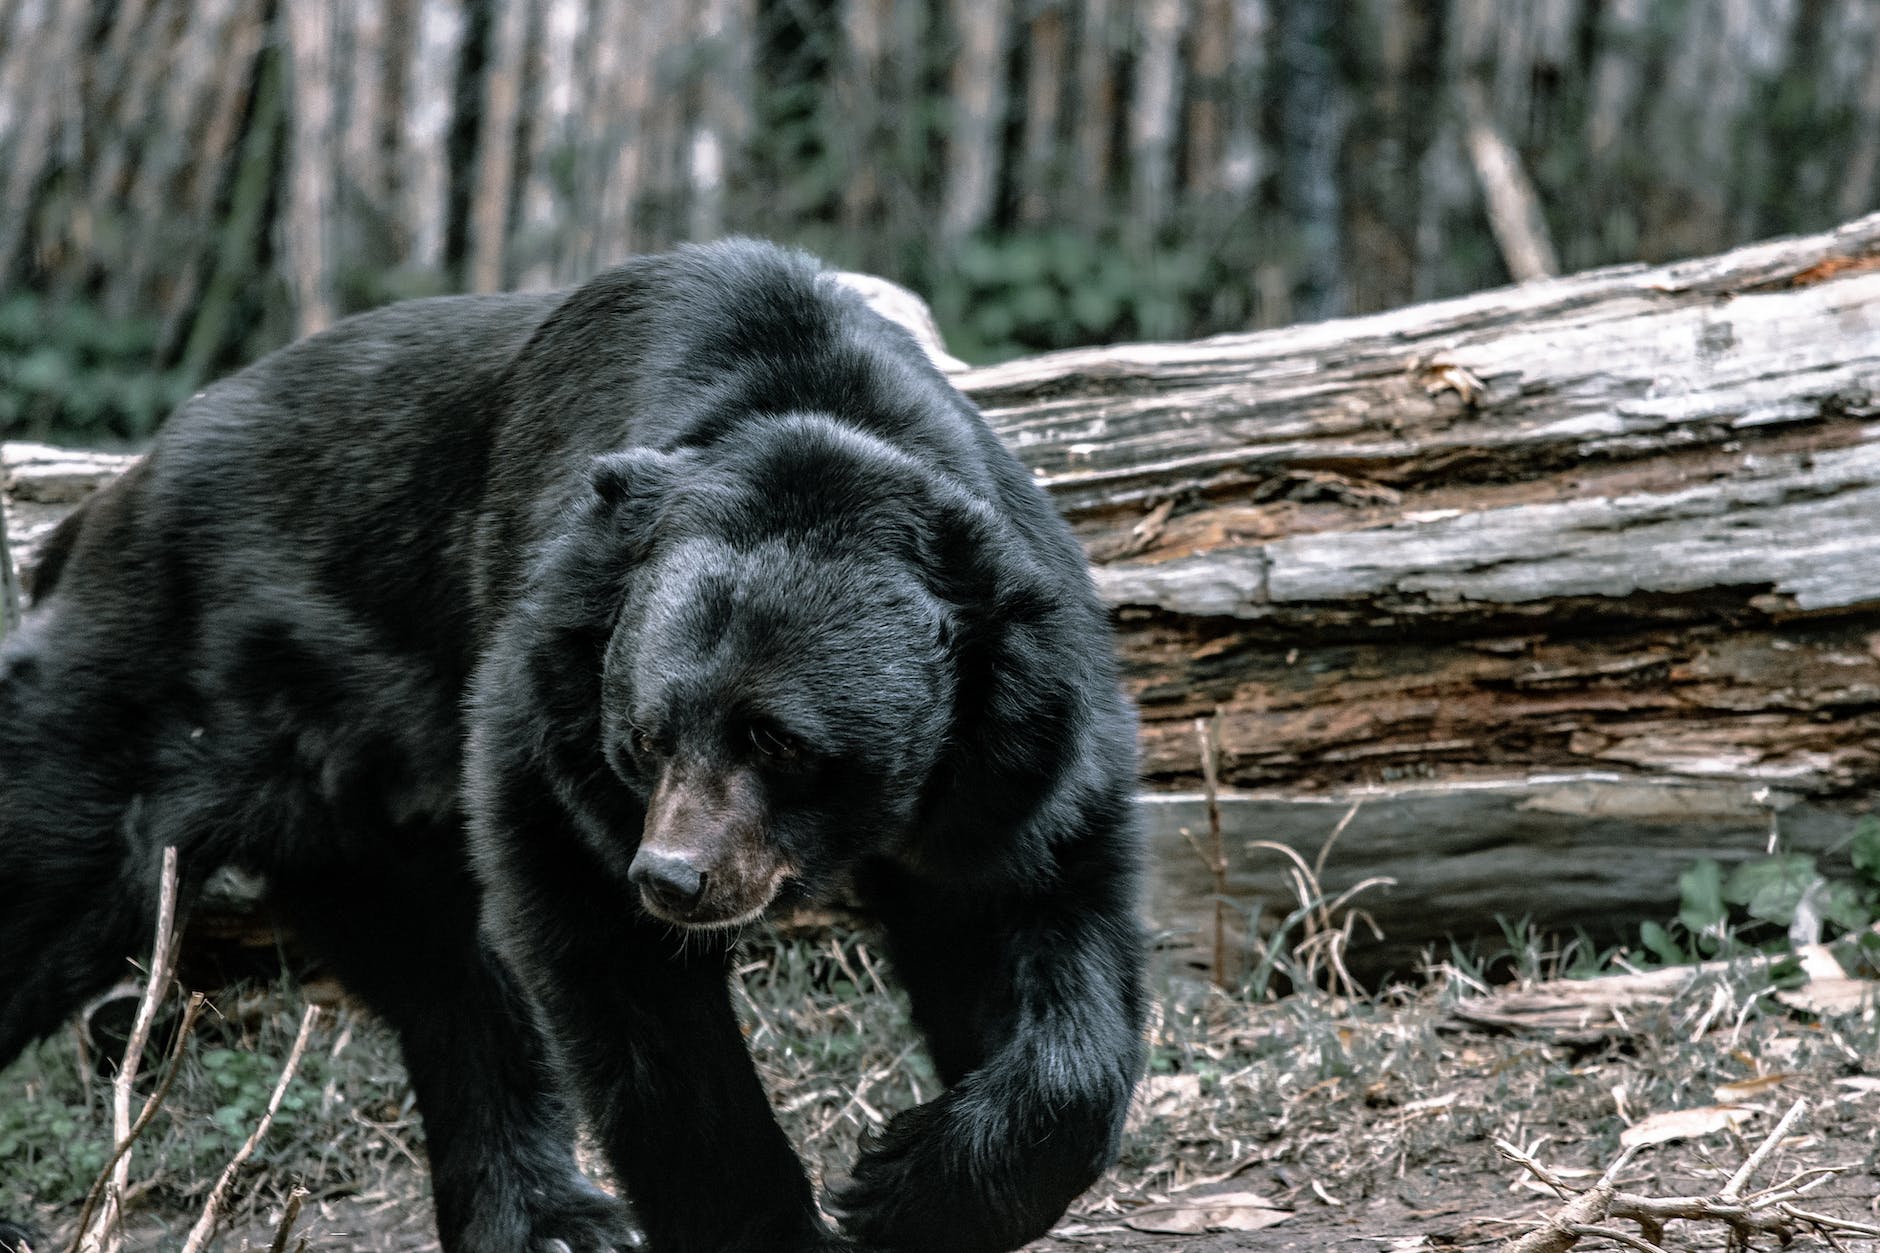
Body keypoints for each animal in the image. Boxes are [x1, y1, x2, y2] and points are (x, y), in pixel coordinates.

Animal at [0, 240, 1143, 1249]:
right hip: (148, 696)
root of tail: (101, 505)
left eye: (778, 740)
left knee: (445, 977)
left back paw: (548, 1217)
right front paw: (785, 1223)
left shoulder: (1015, 748)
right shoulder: (550, 708)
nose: (674, 877)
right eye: (644, 735)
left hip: (354, 806)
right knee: (54, 872)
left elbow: (1037, 927)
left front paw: (908, 1183)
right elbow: (625, 986)